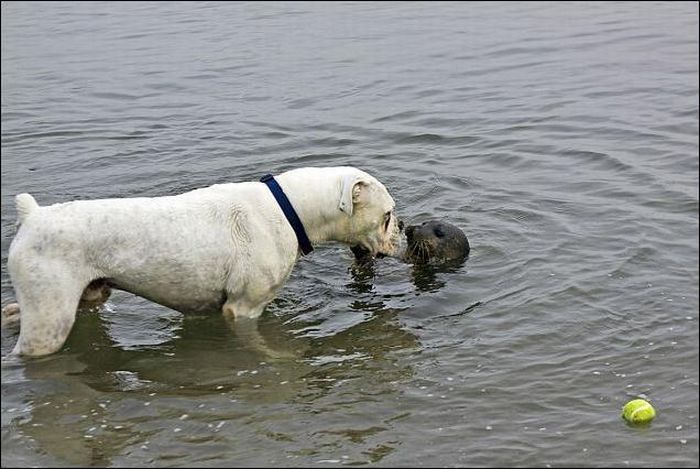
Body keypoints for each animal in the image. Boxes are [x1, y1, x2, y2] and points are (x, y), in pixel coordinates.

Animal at [4, 166, 404, 356]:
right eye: (387, 216)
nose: (402, 231)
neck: (288, 209)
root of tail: (33, 215)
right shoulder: (243, 310)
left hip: (79, 298)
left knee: (13, 311)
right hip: (50, 322)